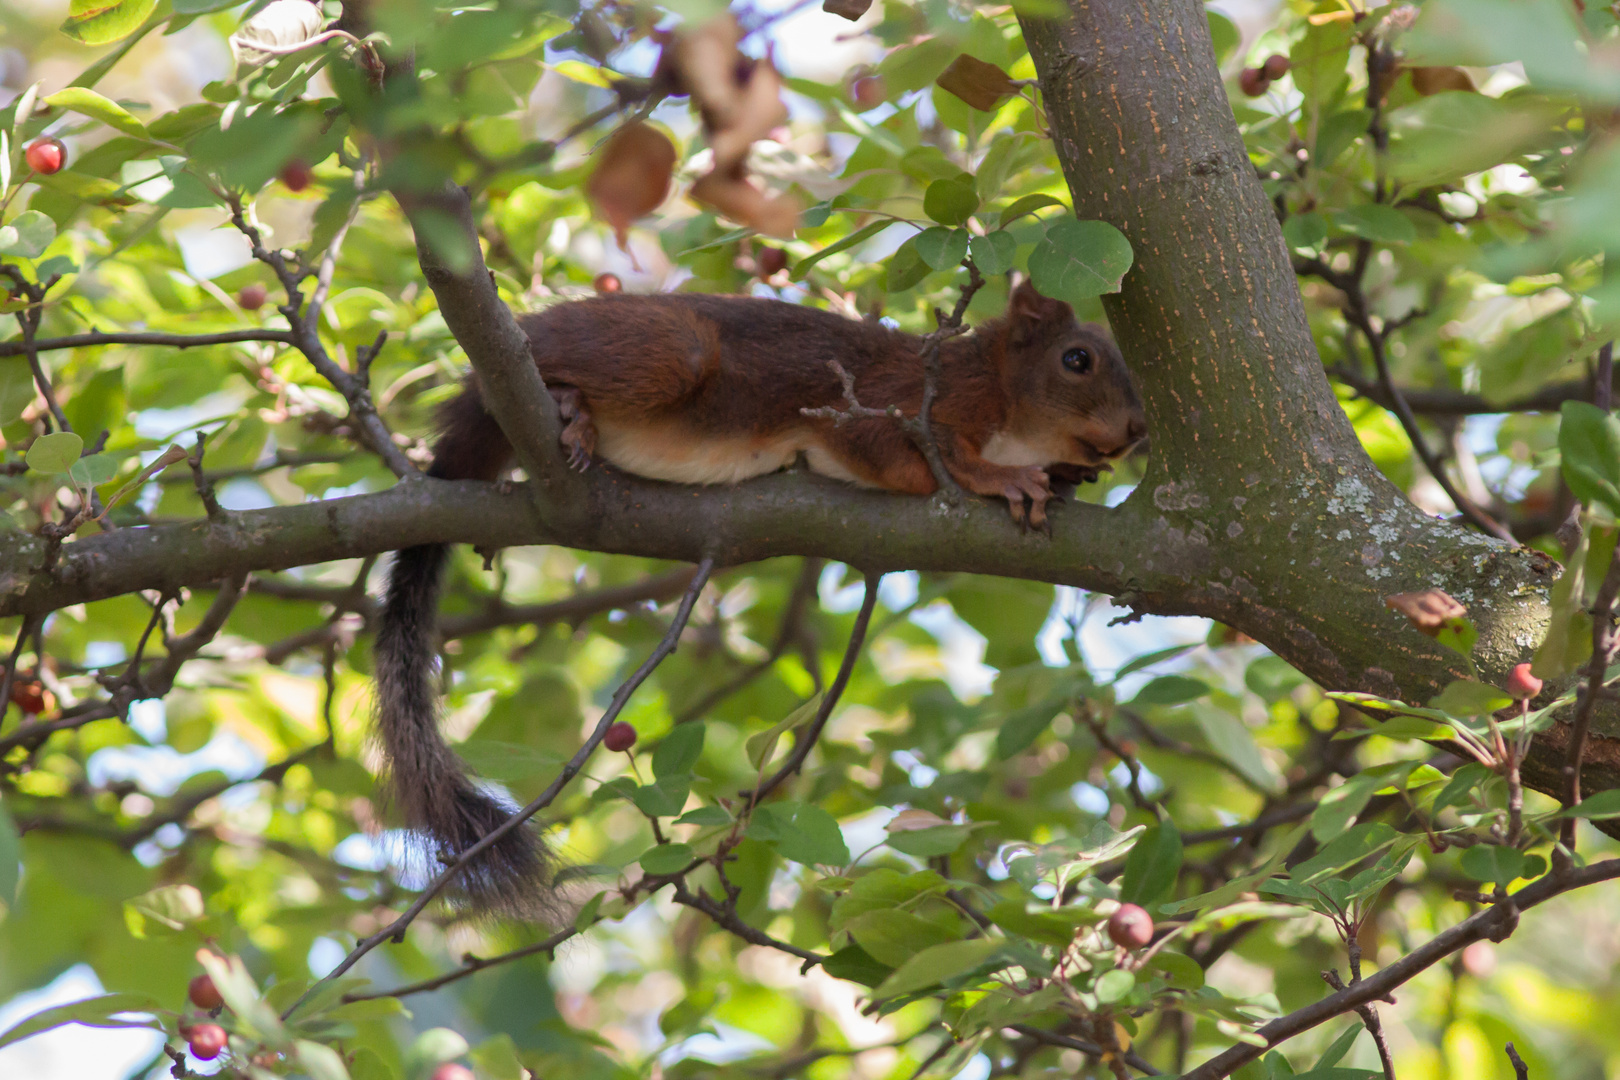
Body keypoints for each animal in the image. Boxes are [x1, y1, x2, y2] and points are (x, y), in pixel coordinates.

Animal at [372, 278, 1146, 913]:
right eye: (1077, 359)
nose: (1138, 432)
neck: (1001, 395)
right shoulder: (895, 404)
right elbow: (917, 459)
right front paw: (1003, 479)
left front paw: (1064, 473)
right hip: (665, 351)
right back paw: (566, 405)